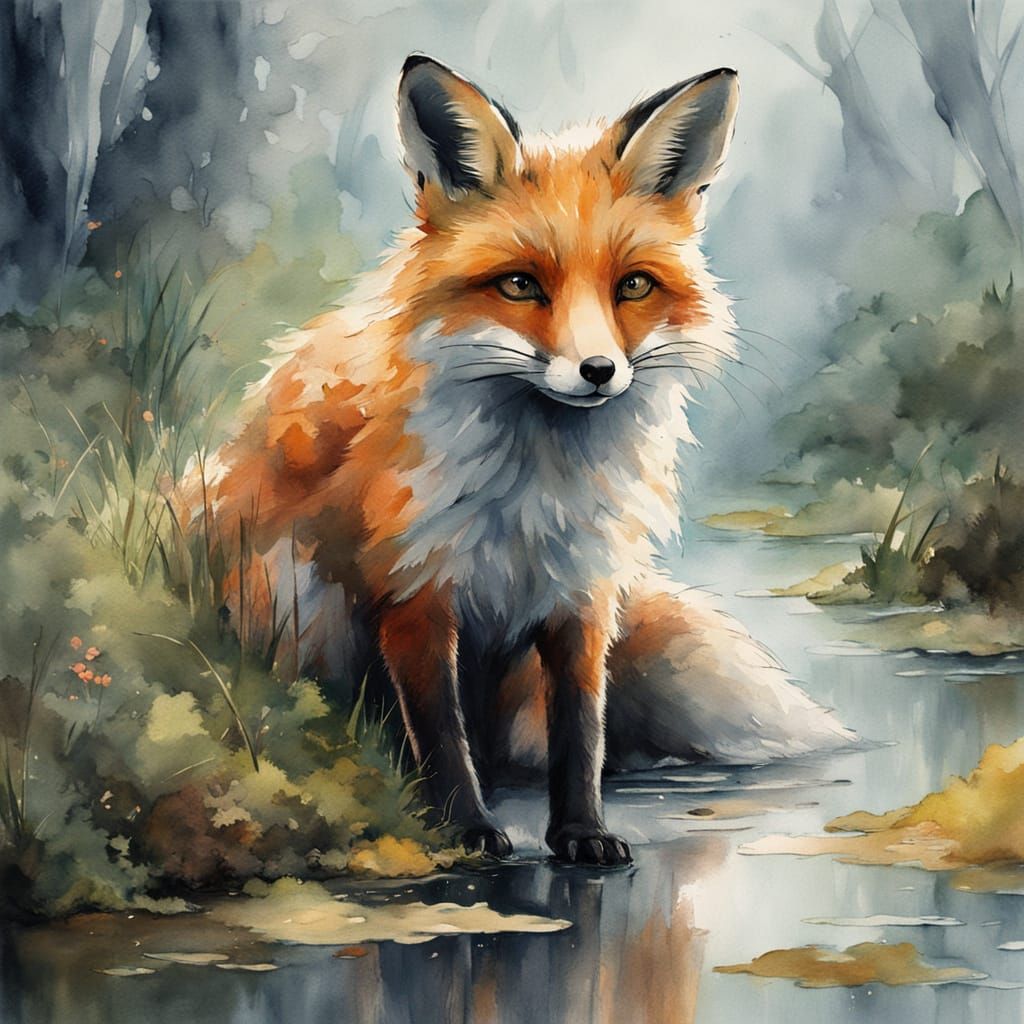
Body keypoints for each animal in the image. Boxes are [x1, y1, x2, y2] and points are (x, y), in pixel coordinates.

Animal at [201, 55, 854, 866]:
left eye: (633, 285)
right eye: (520, 283)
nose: (599, 371)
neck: (534, 490)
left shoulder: (581, 592)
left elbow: (582, 730)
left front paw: (582, 833)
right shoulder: (416, 589)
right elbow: (440, 731)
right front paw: (465, 829)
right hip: (291, 599)